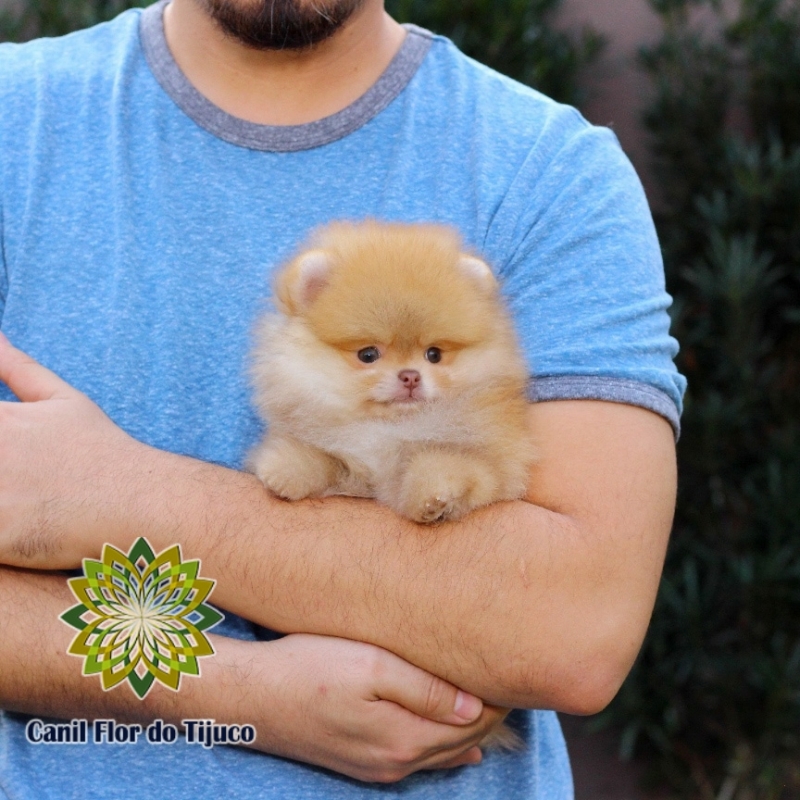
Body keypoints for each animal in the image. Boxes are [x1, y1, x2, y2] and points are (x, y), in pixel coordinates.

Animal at [248, 222, 536, 528]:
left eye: (434, 354)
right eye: (368, 354)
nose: (410, 376)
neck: (389, 429)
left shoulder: (493, 462)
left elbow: (450, 462)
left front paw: (434, 496)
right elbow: (319, 457)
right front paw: (284, 471)